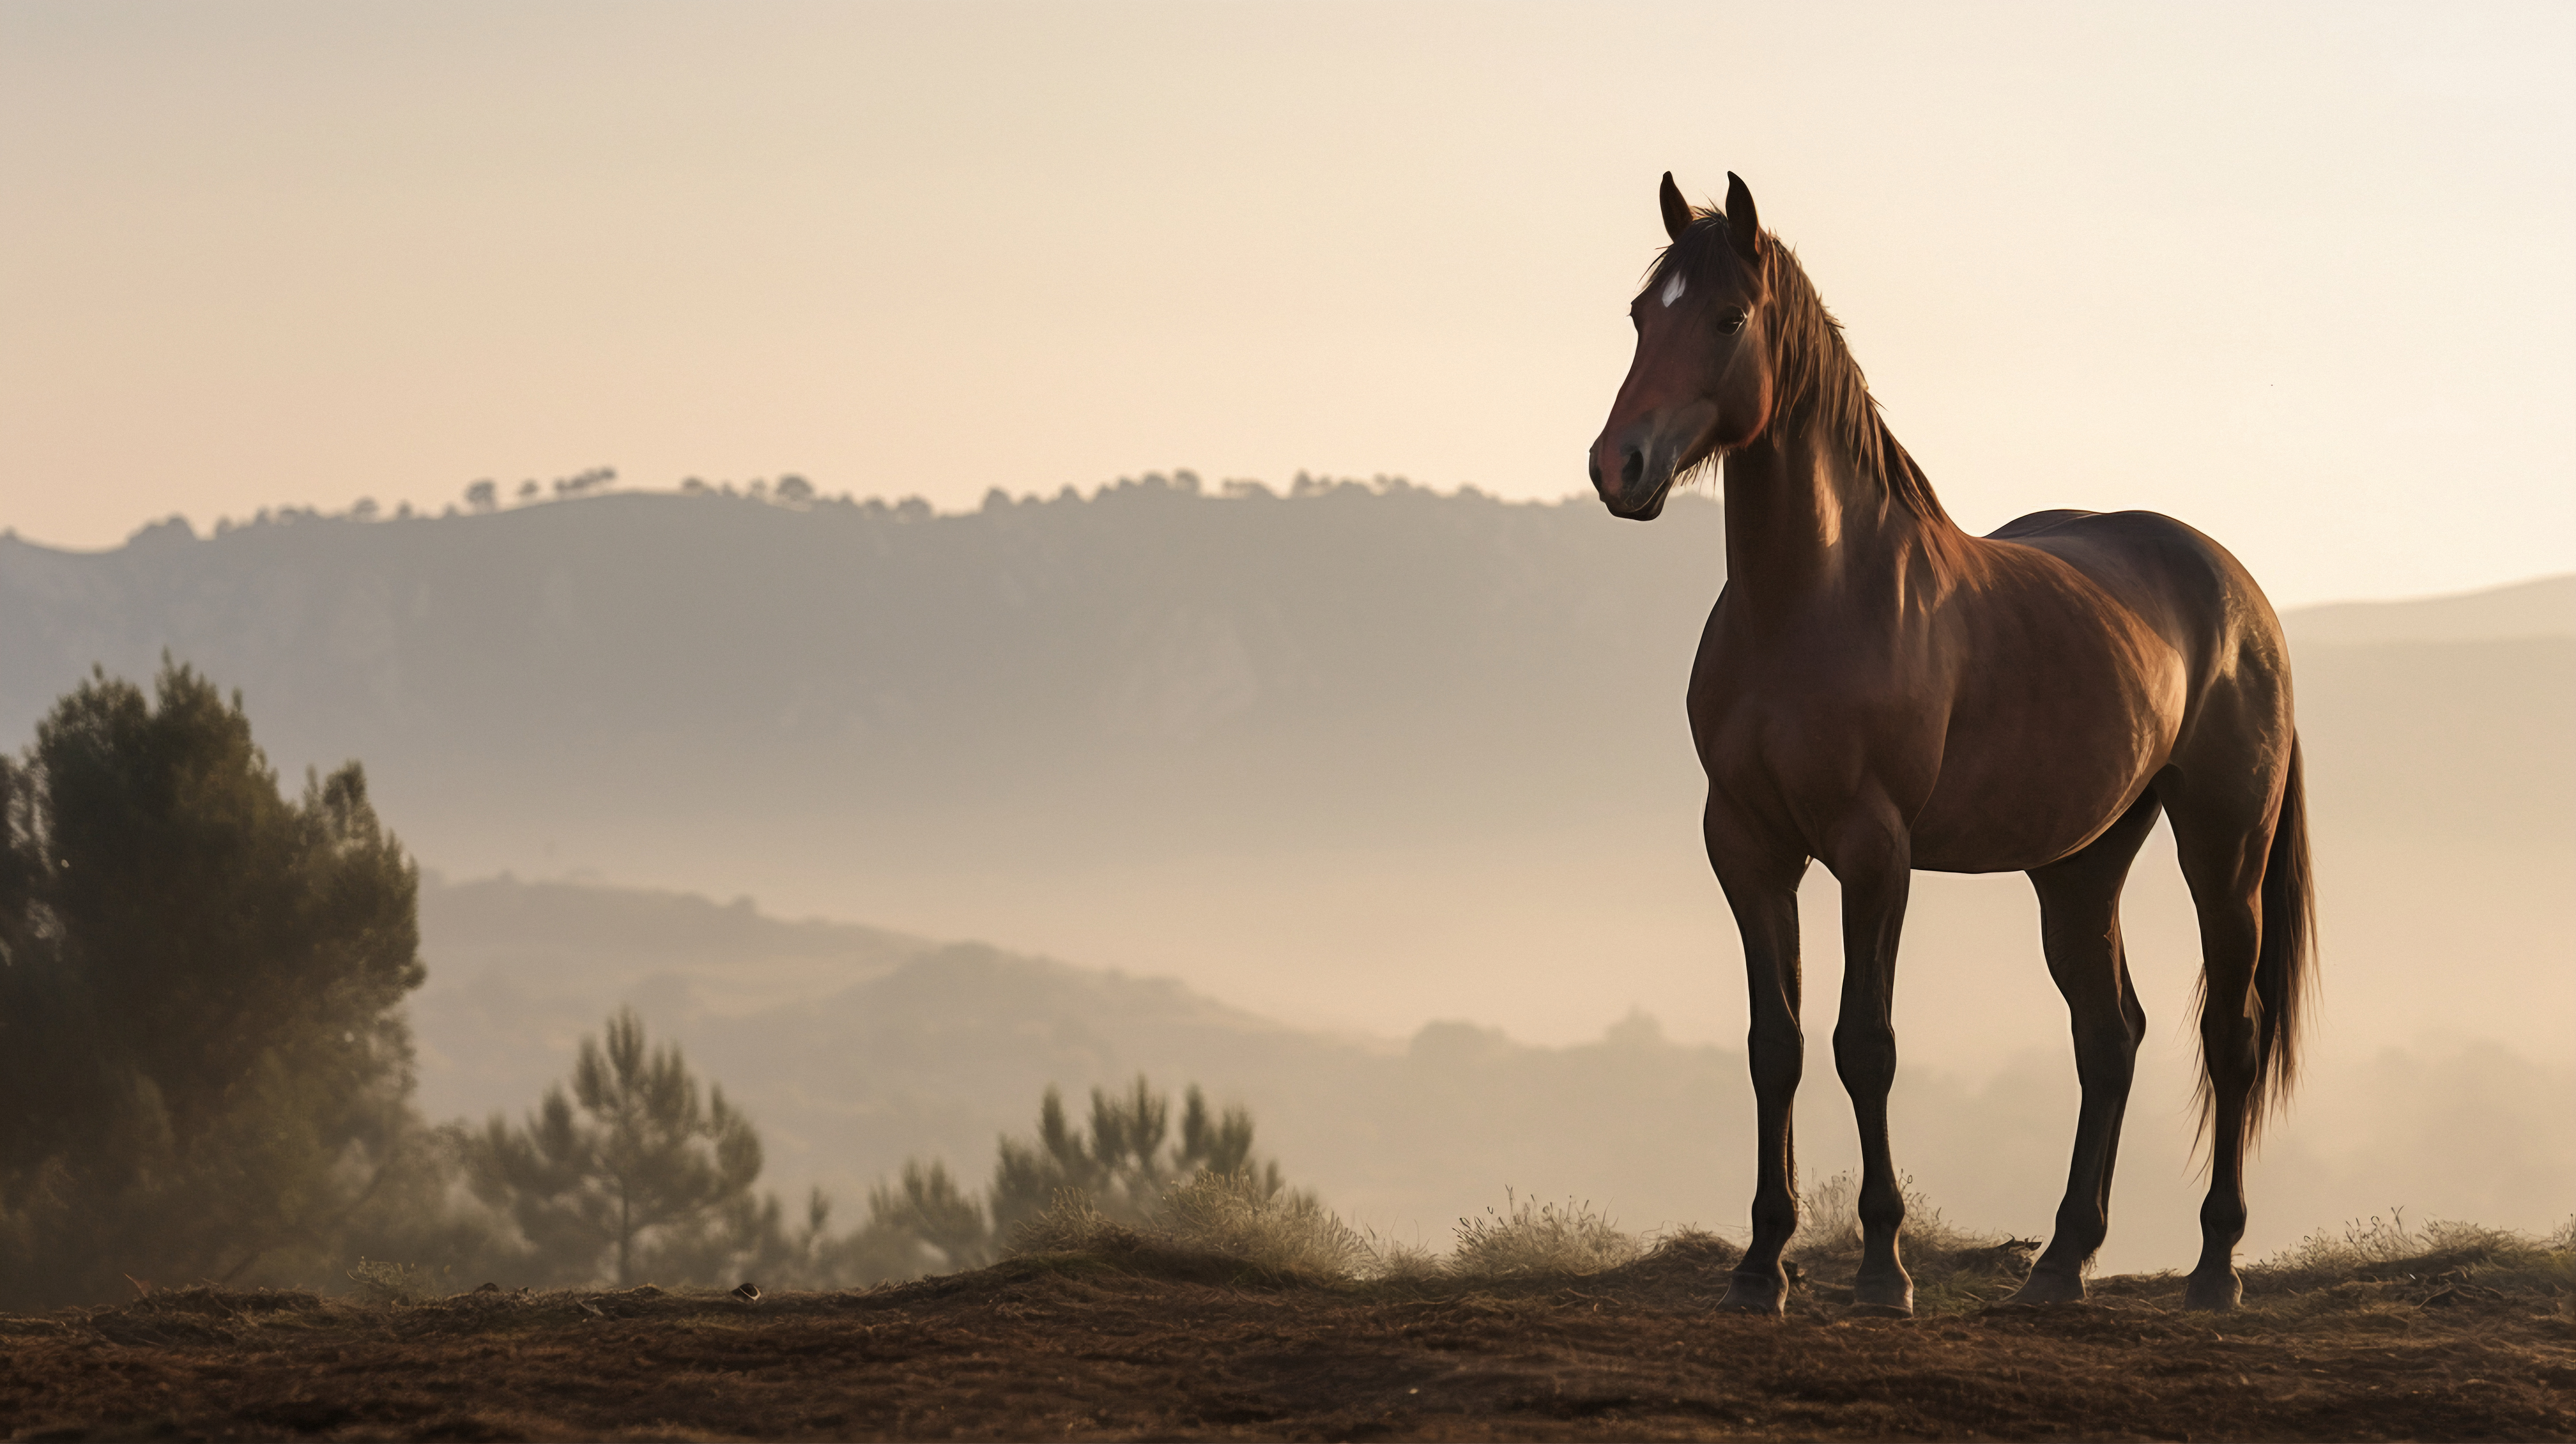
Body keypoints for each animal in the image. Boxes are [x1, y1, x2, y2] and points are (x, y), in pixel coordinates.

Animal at [1587, 172, 2313, 1315]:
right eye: (1636, 316)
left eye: (1728, 318)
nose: (1619, 466)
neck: (1810, 603)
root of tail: (2237, 591)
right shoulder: (1747, 848)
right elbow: (1774, 1046)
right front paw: (1759, 1265)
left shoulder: (1873, 854)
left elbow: (1865, 1045)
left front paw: (1883, 1269)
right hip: (2079, 865)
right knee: (2109, 1037)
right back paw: (2059, 1266)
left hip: (2222, 847)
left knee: (2227, 1038)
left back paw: (2212, 1269)